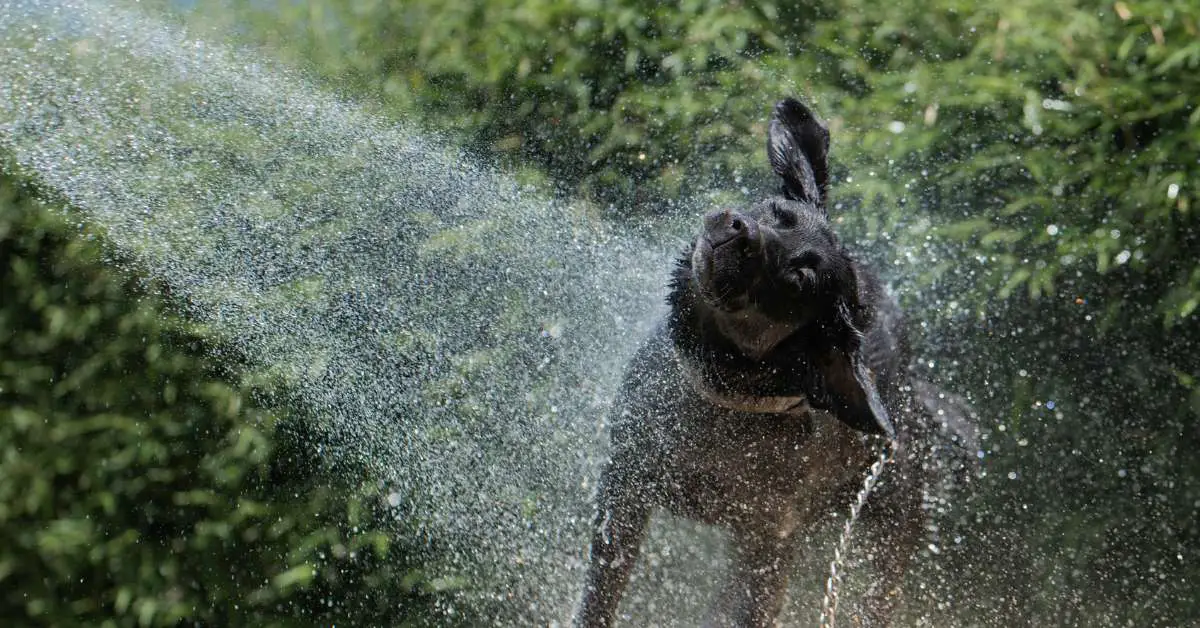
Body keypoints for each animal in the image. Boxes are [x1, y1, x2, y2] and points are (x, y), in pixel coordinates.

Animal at [571, 100, 955, 624]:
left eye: (799, 279)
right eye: (777, 213)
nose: (740, 232)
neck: (726, 400)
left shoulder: (769, 543)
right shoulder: (626, 483)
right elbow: (601, 593)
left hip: (893, 518)